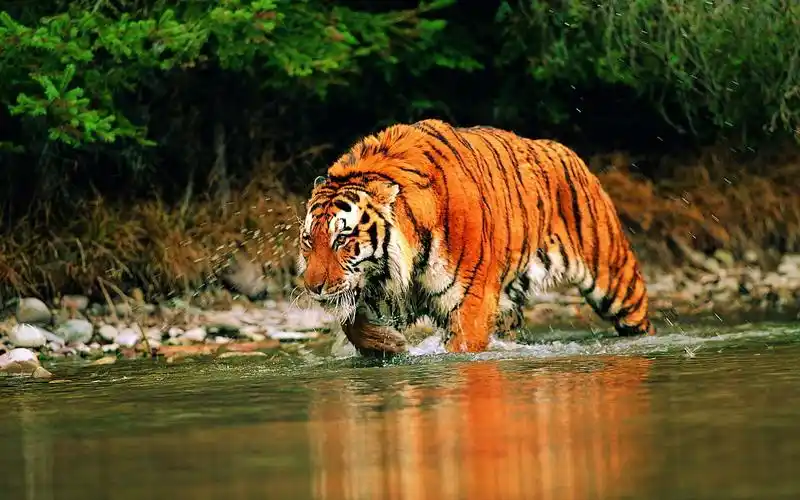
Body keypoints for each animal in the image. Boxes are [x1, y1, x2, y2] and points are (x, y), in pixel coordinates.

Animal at [296, 118, 656, 357]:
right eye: (308, 241)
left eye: (342, 239)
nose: (312, 287)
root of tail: (564, 150)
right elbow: (351, 323)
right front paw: (388, 344)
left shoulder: (470, 303)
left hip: (617, 282)